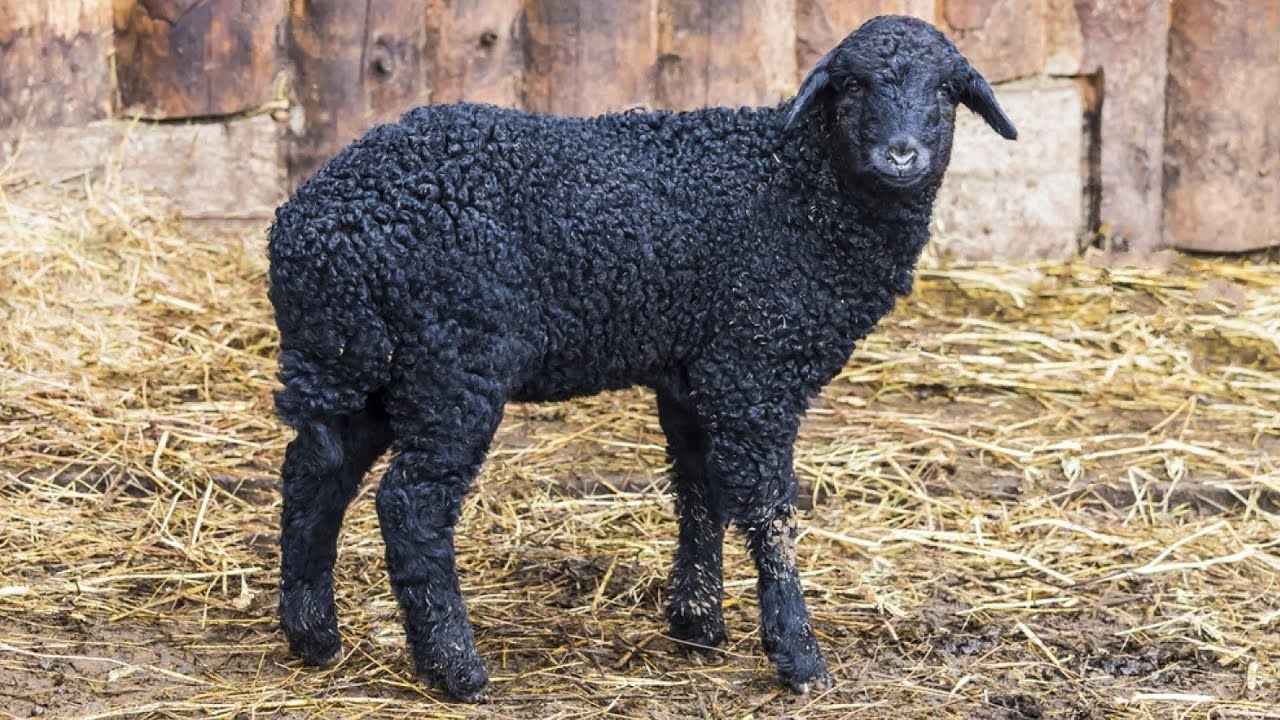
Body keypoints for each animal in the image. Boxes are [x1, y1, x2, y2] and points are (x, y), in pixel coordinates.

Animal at [268, 14, 1017, 701]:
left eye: (946, 90)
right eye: (853, 86)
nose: (901, 155)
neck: (806, 189)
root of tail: (316, 234)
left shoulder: (694, 378)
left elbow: (700, 492)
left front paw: (698, 624)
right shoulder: (754, 370)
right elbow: (769, 513)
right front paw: (799, 657)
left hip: (366, 367)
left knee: (314, 475)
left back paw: (314, 636)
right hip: (453, 365)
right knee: (410, 506)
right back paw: (456, 668)